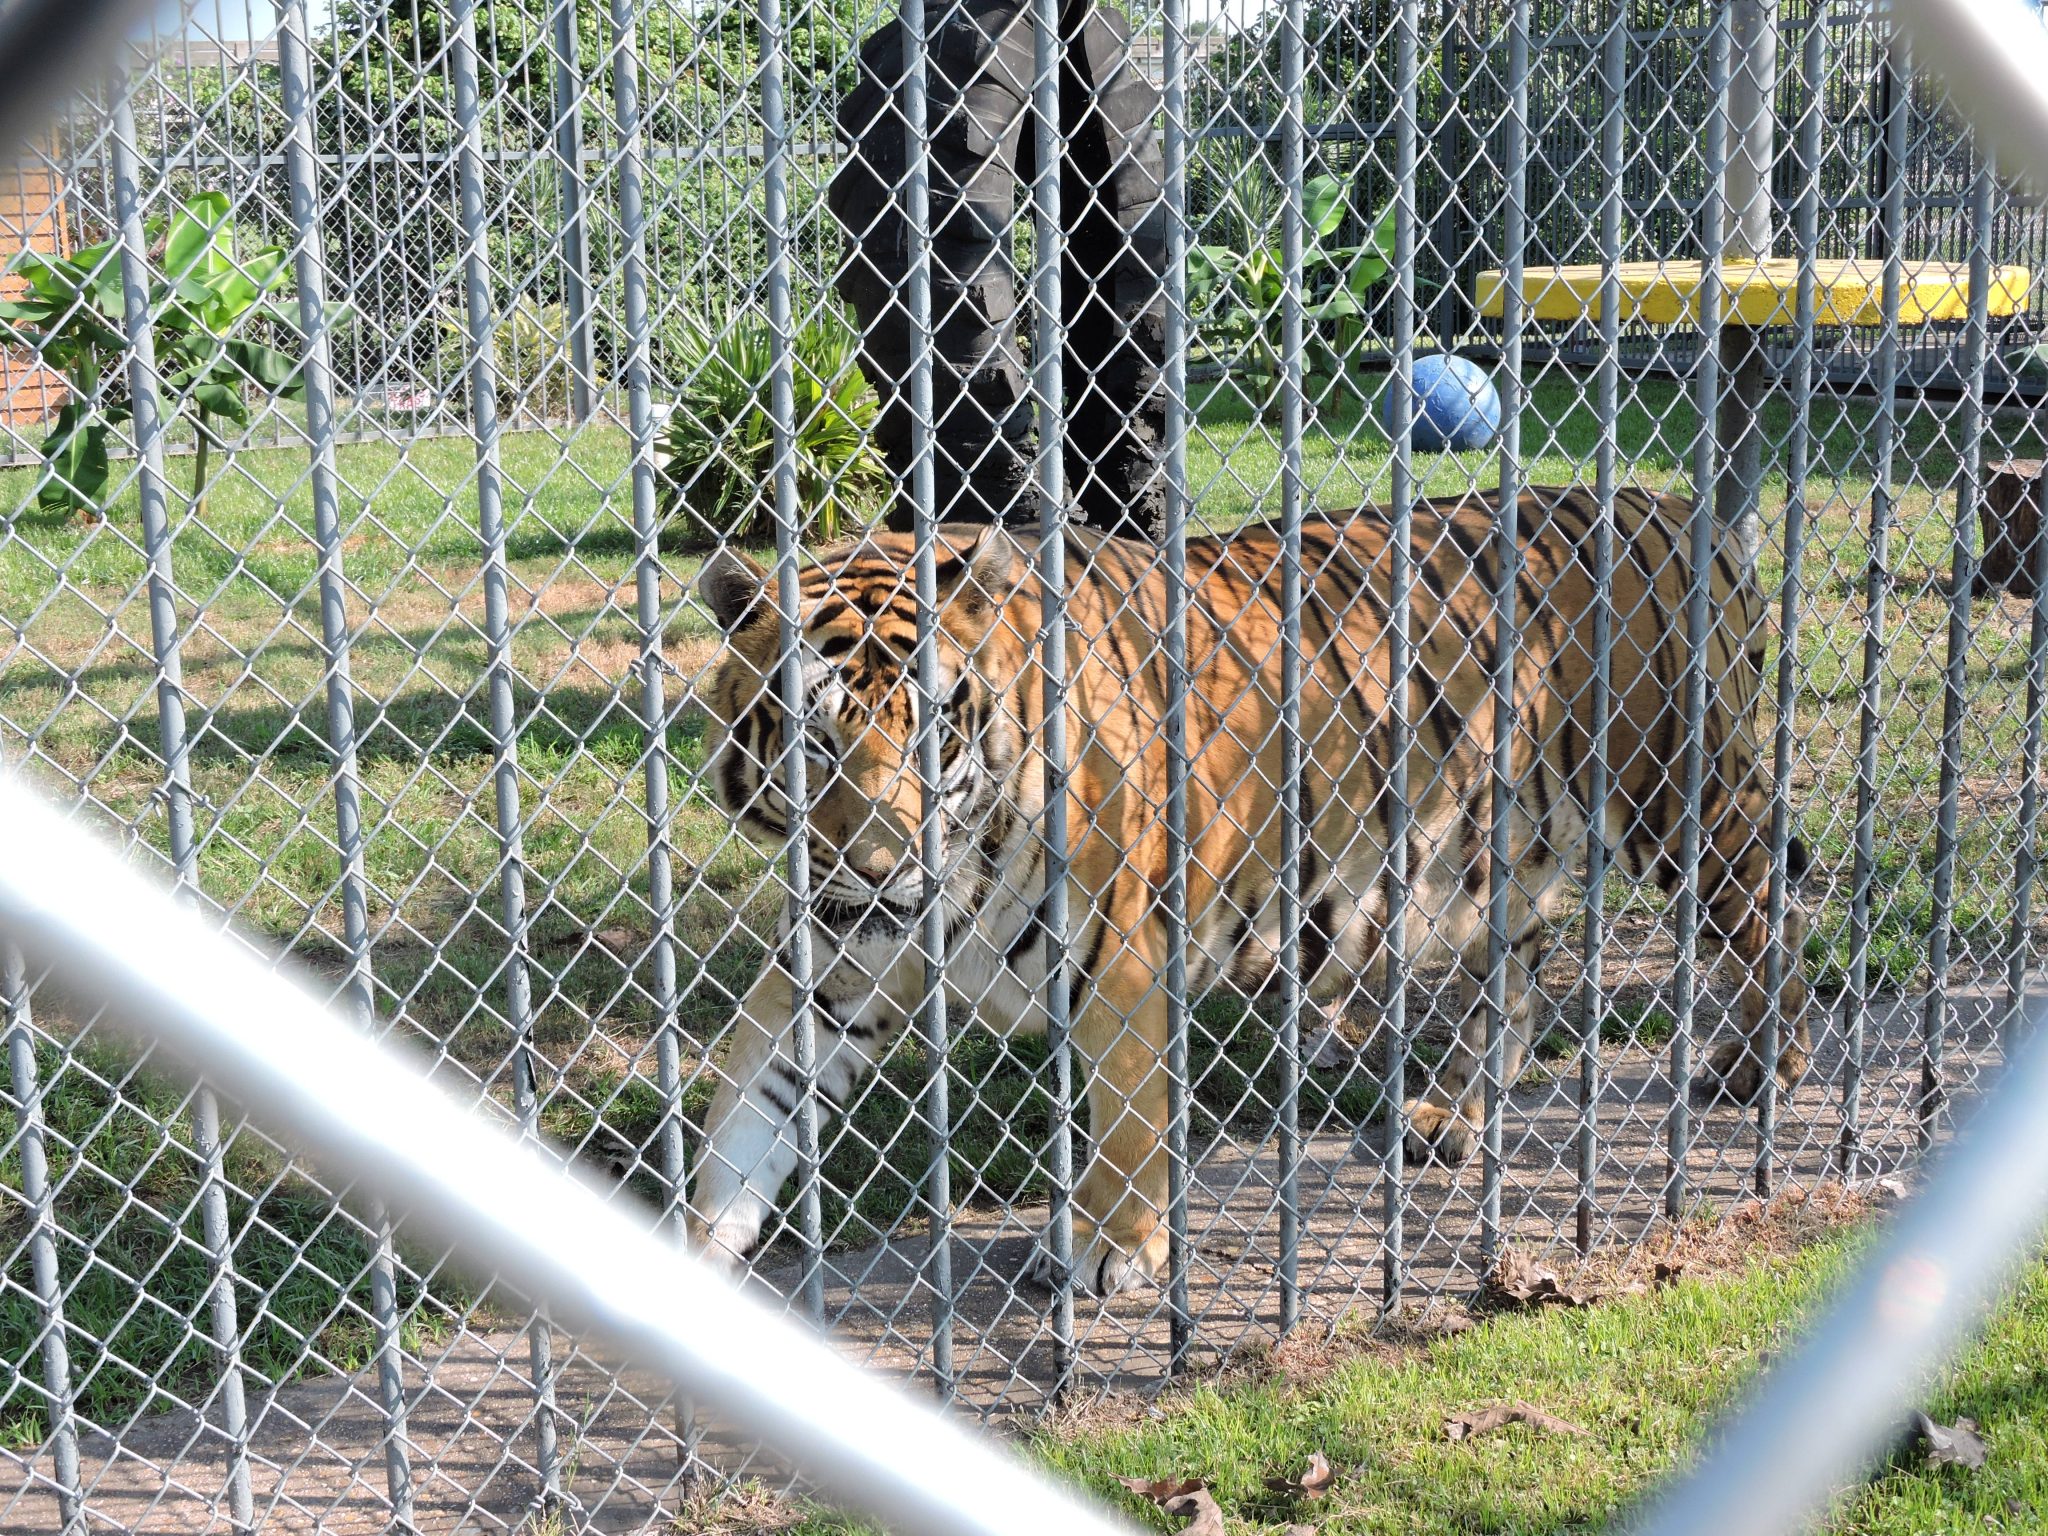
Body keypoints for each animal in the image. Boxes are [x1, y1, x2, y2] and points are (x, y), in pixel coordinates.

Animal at [684, 489, 1810, 1302]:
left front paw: (1107, 1249)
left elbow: (1127, 1121)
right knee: (1520, 969)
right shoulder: (828, 971)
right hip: (1498, 852)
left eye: (929, 735)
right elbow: (747, 1117)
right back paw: (1448, 1114)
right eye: (815, 740)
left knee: (1767, 903)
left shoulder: (1122, 959)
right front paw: (688, 1263)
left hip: (1679, 799)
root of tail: (1680, 507)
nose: (880, 868)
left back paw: (1766, 1062)